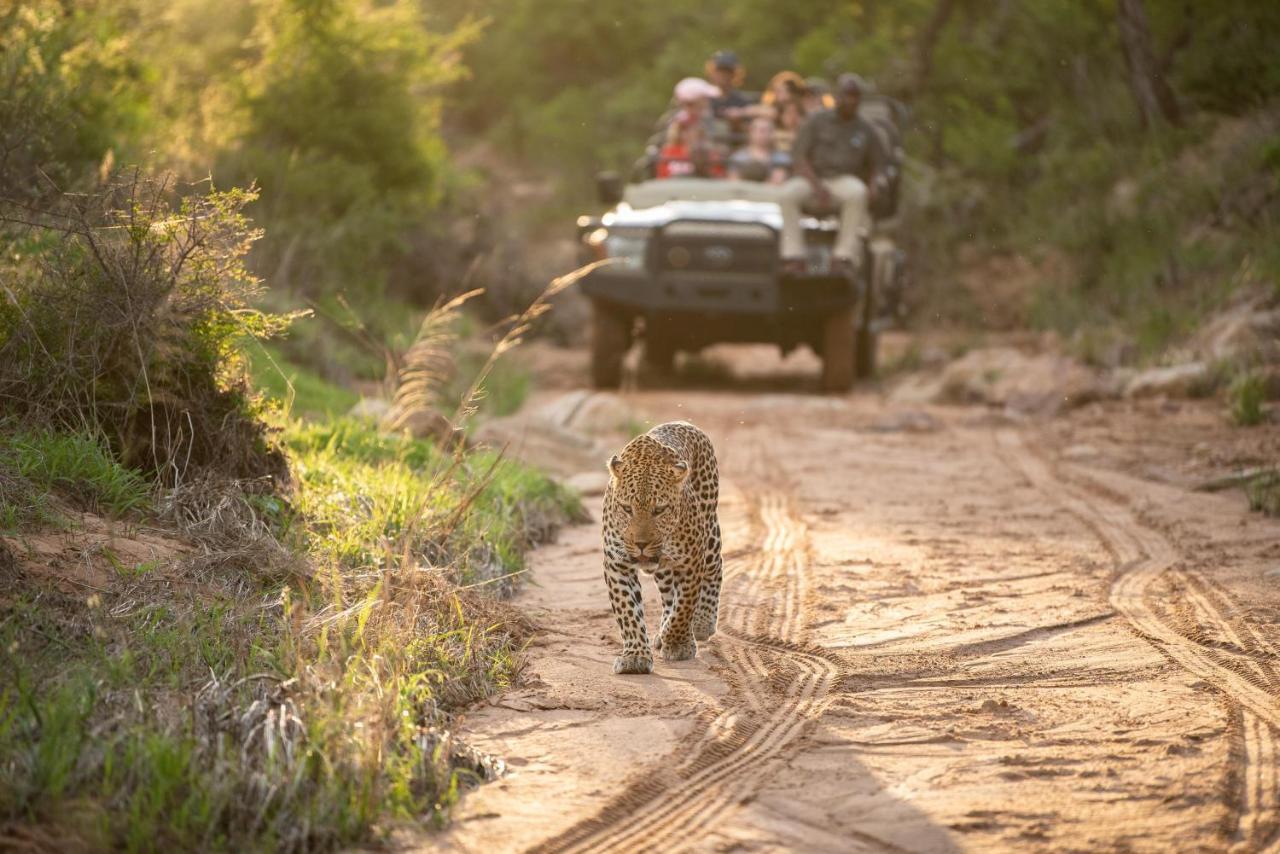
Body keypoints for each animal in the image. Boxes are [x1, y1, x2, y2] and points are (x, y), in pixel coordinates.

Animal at [599, 419, 721, 676]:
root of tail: (683, 423)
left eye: (660, 510)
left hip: (709, 531)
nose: (641, 544)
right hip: (663, 569)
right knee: (667, 595)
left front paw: (677, 643)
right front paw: (635, 657)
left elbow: (684, 607)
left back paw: (702, 622)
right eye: (626, 508)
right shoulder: (617, 564)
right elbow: (628, 611)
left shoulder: (691, 561)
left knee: (716, 567)